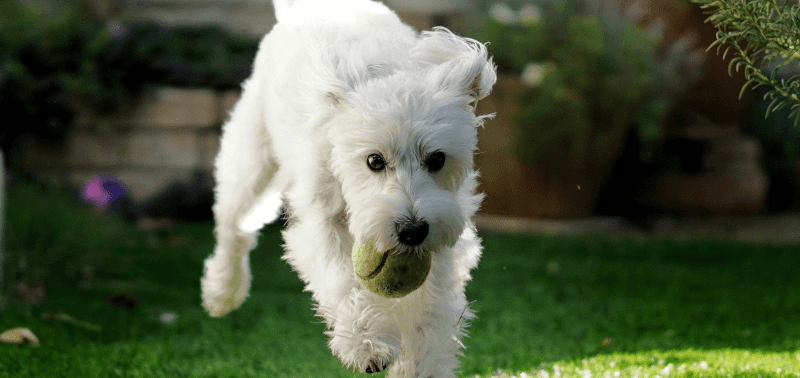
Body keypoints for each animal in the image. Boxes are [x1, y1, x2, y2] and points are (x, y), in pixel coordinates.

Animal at [200, 0, 496, 376]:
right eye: (373, 161)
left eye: (438, 159)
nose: (412, 231)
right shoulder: (320, 219)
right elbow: (343, 282)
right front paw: (365, 345)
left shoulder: (444, 240)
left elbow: (431, 310)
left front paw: (420, 366)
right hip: (249, 163)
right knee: (232, 226)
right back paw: (221, 293)